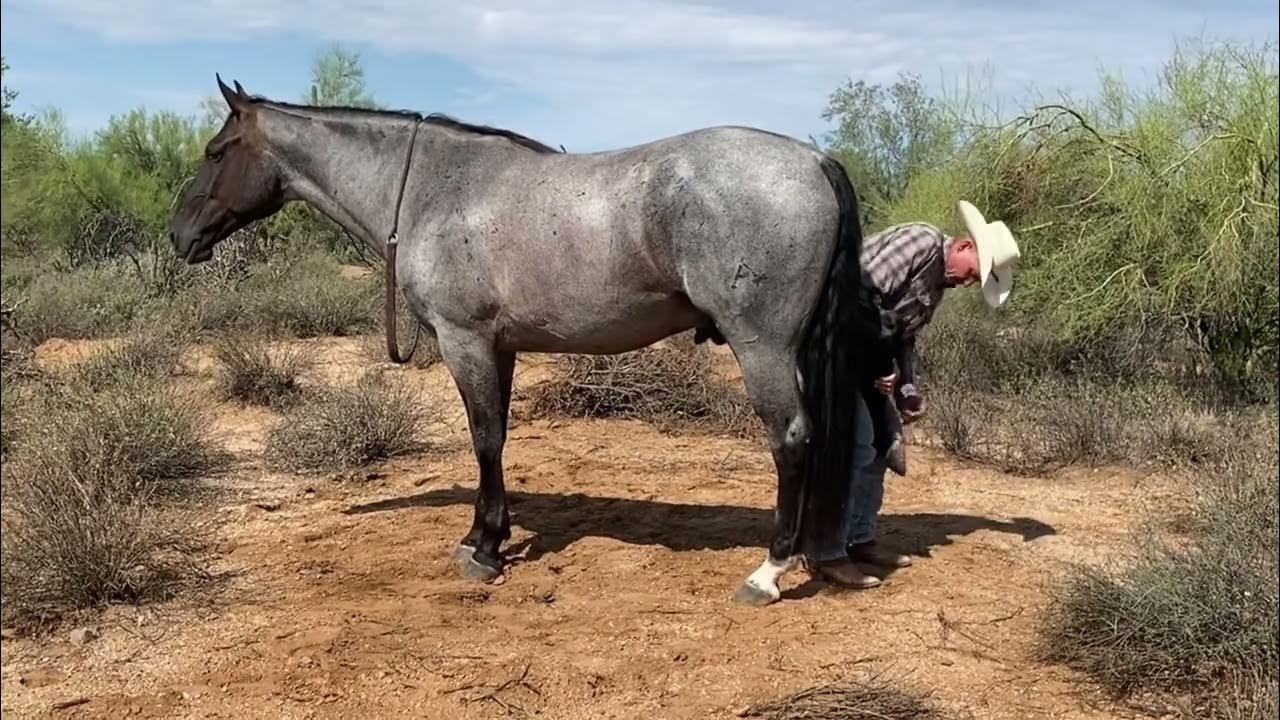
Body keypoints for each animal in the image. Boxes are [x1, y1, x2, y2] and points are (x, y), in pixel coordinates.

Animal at [170, 76, 895, 606]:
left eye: (215, 152)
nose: (179, 235)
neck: (435, 187)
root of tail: (813, 159)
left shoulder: (465, 342)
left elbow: (484, 439)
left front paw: (484, 550)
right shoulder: (501, 347)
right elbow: (498, 436)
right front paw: (488, 534)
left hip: (763, 345)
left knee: (792, 439)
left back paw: (768, 573)